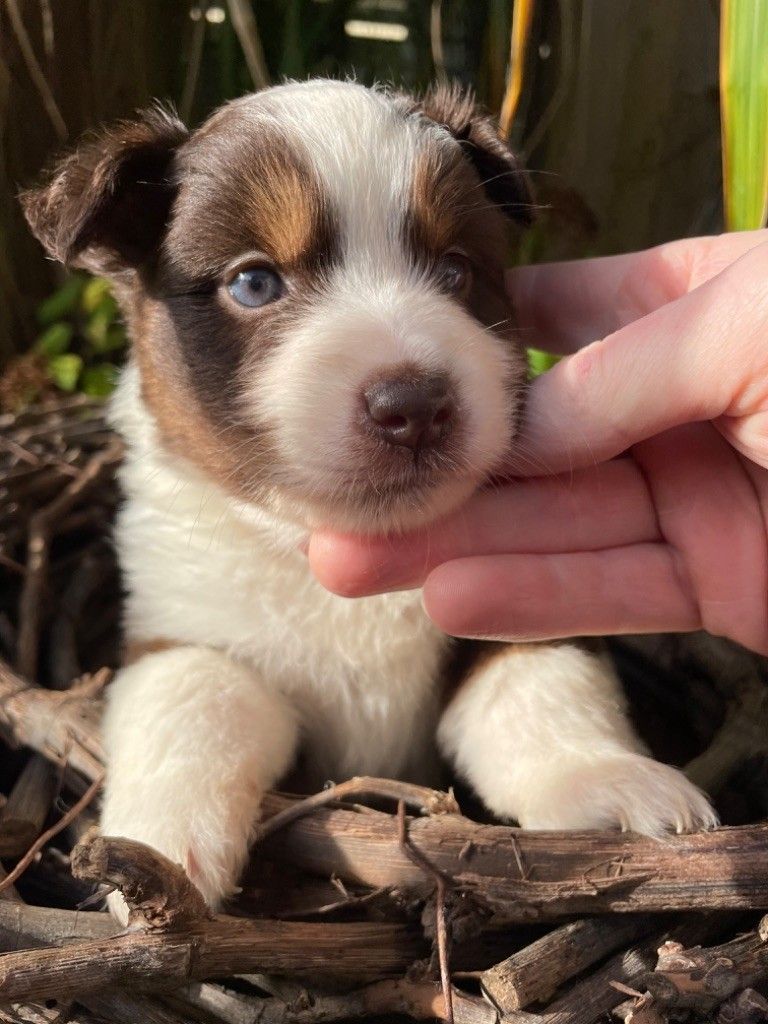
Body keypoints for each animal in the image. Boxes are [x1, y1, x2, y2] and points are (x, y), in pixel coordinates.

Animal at [24, 79, 720, 913]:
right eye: (254, 283)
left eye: (455, 271)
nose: (414, 406)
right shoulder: (184, 623)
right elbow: (191, 693)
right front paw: (154, 845)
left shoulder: (518, 609)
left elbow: (542, 685)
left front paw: (609, 782)